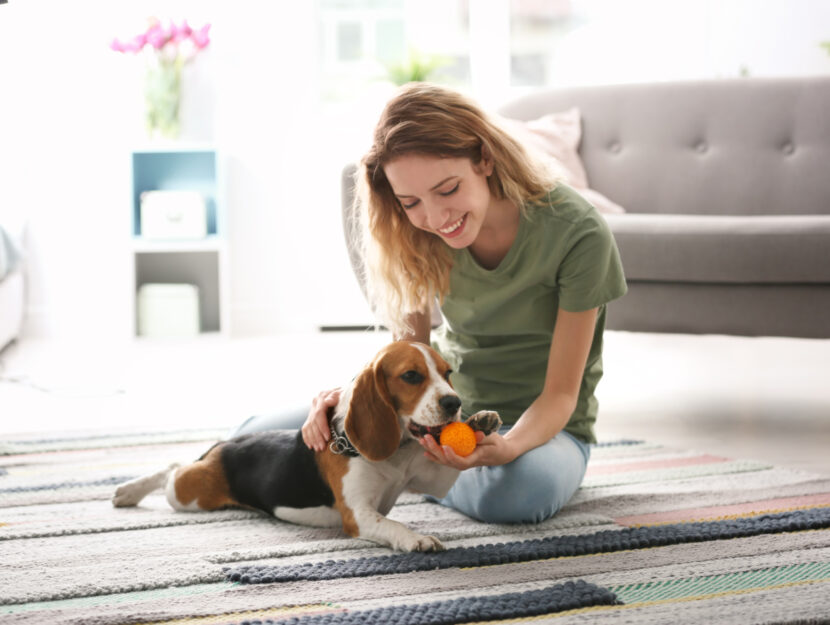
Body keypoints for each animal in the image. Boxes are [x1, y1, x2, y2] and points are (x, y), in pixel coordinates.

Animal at [110, 342, 500, 552]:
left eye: (447, 373)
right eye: (411, 376)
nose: (454, 403)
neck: (398, 453)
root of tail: (226, 445)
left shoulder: (432, 479)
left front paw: (482, 422)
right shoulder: (359, 515)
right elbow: (392, 525)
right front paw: (415, 539)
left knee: (175, 465)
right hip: (190, 495)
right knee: (171, 471)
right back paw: (129, 491)